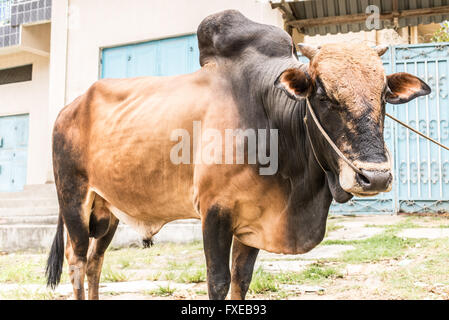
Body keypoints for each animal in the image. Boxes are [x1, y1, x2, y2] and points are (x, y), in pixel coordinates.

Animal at [46, 10, 430, 300]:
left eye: (383, 95)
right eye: (322, 94)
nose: (375, 177)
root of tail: (68, 108)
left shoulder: (254, 221)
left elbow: (241, 280)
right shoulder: (215, 213)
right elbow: (217, 282)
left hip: (107, 211)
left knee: (95, 262)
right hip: (74, 201)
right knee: (77, 262)